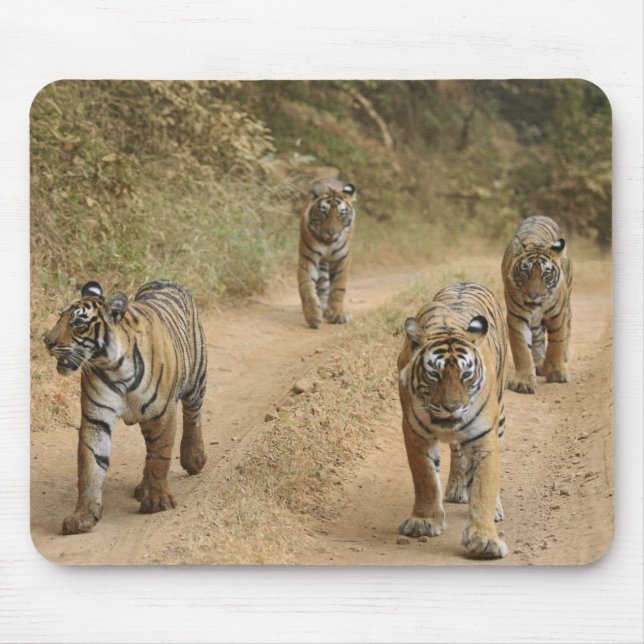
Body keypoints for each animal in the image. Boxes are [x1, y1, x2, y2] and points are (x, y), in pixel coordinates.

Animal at [43, 279, 208, 535]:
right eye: (60, 317)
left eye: (78, 323)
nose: (47, 342)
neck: (113, 365)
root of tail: (164, 279)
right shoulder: (96, 417)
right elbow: (90, 466)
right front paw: (83, 515)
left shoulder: (162, 412)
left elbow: (160, 458)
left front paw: (158, 501)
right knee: (149, 448)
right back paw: (144, 487)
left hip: (195, 380)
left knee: (193, 415)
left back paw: (194, 458)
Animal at [298, 178, 356, 329]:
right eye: (324, 213)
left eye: (341, 214)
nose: (331, 232)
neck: (328, 243)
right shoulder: (308, 258)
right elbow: (306, 286)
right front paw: (313, 315)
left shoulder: (343, 259)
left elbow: (338, 288)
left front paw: (338, 314)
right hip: (322, 263)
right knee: (323, 285)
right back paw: (323, 308)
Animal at [397, 282, 509, 559]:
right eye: (434, 374)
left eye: (466, 374)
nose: (452, 407)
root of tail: (465, 282)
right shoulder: (415, 432)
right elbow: (425, 478)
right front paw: (424, 521)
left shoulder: (484, 436)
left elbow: (484, 485)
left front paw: (485, 539)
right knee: (457, 453)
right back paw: (457, 488)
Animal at [502, 215, 572, 394]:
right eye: (525, 272)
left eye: (546, 274)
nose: (534, 296)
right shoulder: (517, 317)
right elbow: (521, 350)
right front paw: (523, 382)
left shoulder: (558, 315)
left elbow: (556, 344)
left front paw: (557, 374)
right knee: (538, 337)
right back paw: (540, 364)